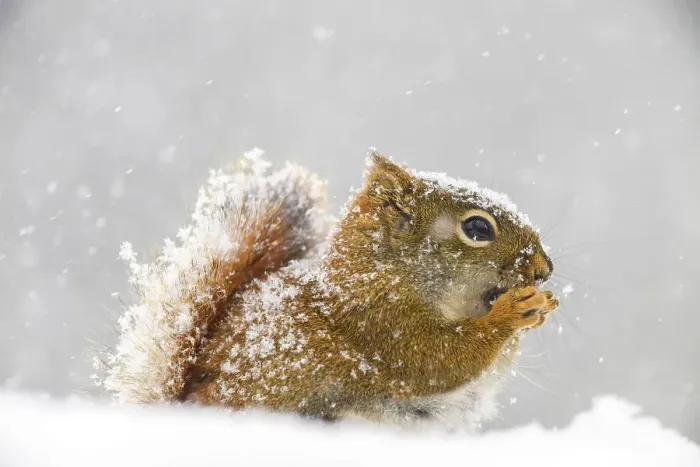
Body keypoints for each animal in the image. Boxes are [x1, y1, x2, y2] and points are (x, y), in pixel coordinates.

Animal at [100, 148, 559, 430]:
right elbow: (440, 360)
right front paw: (511, 313)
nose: (544, 270)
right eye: (477, 228)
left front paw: (542, 306)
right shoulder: (379, 323)